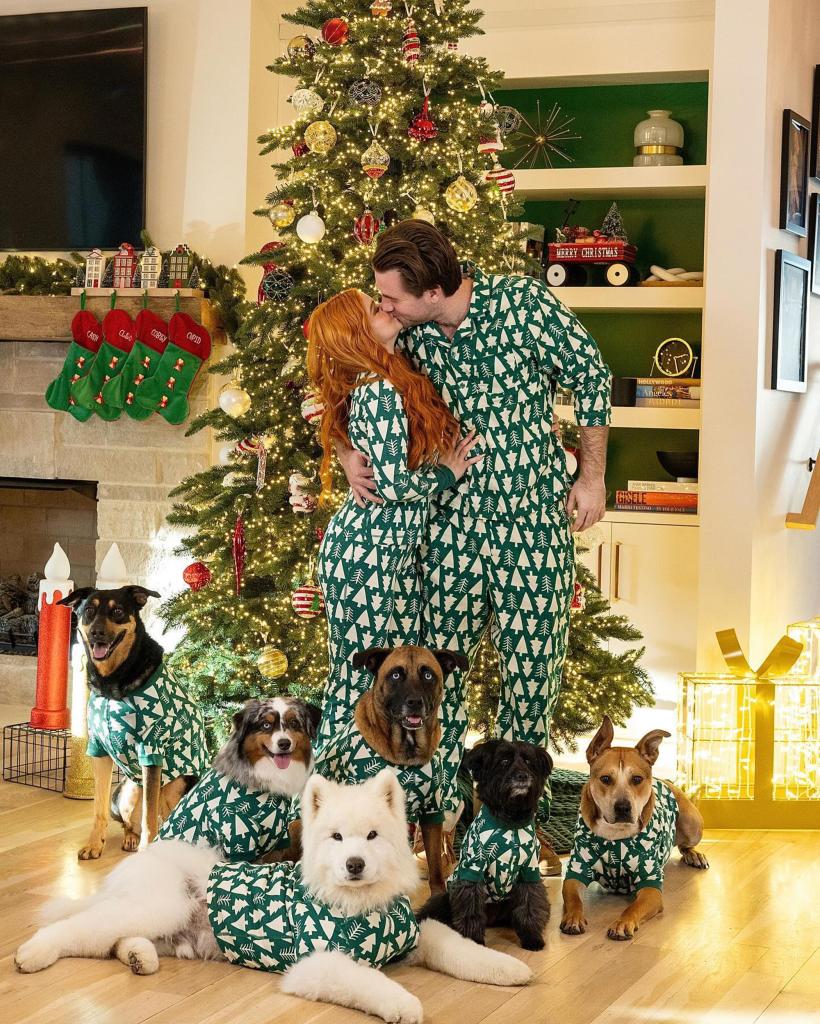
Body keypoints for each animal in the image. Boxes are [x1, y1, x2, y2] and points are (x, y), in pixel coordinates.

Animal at [19, 770, 532, 1019]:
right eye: (336, 838)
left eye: (372, 836)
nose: (354, 864)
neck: (360, 904)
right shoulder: (317, 962)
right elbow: (370, 982)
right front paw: (405, 1005)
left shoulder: (415, 935)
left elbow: (460, 948)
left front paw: (509, 969)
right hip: (161, 904)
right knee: (79, 929)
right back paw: (32, 954)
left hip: (163, 922)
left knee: (114, 940)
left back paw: (137, 958)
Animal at [55, 589, 206, 860]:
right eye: (88, 611)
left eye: (117, 611)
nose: (97, 633)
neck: (112, 682)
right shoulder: (99, 750)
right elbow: (98, 807)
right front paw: (95, 844)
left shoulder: (152, 748)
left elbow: (149, 816)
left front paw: (148, 851)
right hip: (126, 791)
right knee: (129, 823)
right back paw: (131, 839)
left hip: (176, 785)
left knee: (167, 819)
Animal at [415, 741, 548, 946]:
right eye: (504, 761)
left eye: (528, 762)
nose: (522, 776)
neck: (510, 821)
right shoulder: (473, 869)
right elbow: (470, 909)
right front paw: (473, 941)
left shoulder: (529, 870)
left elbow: (529, 905)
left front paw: (532, 938)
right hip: (445, 898)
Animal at [560, 716, 708, 937]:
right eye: (605, 778)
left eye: (637, 779)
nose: (623, 807)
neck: (615, 836)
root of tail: (666, 780)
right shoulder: (576, 870)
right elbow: (573, 899)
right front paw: (573, 917)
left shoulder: (651, 885)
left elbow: (633, 907)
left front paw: (623, 922)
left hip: (692, 824)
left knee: (685, 845)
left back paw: (694, 855)